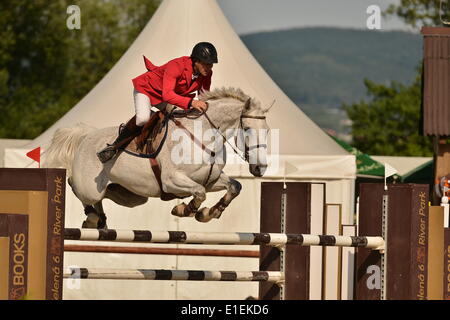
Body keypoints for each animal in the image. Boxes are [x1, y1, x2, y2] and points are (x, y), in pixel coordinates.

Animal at [44, 86, 270, 229]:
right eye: (247, 129)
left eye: (267, 131)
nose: (260, 169)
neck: (204, 136)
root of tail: (85, 136)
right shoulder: (172, 181)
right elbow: (199, 193)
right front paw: (184, 209)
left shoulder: (211, 179)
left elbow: (234, 186)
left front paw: (208, 213)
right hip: (89, 187)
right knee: (75, 185)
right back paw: (92, 217)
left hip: (131, 196)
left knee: (104, 196)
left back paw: (99, 220)